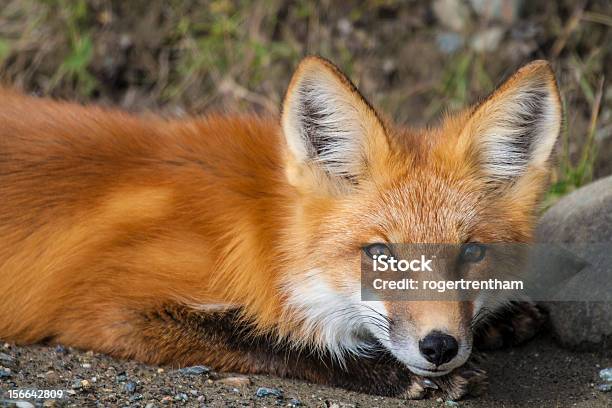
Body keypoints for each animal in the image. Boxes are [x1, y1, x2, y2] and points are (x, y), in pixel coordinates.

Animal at [1, 56, 560, 398]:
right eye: (380, 254)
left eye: (472, 253)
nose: (440, 347)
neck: (256, 229)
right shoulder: (103, 308)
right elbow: (263, 337)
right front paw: (384, 371)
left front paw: (503, 319)